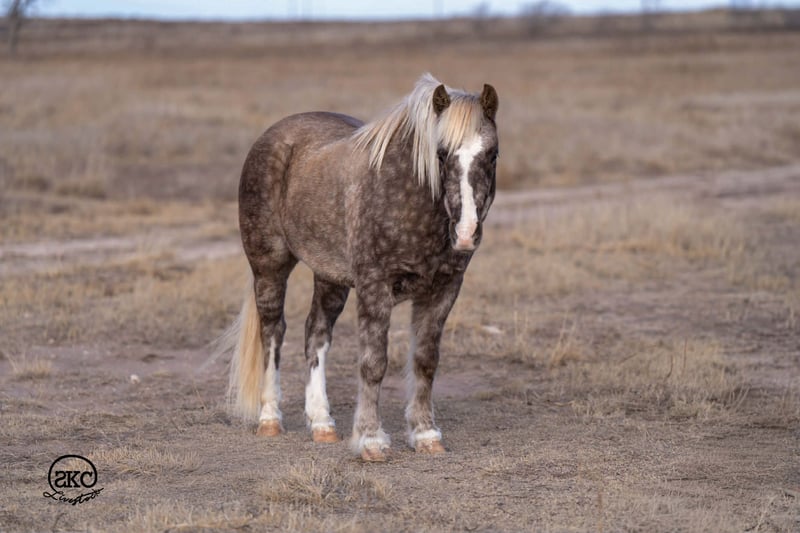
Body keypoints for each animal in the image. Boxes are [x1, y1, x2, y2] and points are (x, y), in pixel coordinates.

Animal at [219, 73, 499, 461]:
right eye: (441, 154)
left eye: (492, 153)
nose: (467, 232)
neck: (409, 198)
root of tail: (273, 137)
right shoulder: (373, 287)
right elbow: (373, 363)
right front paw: (370, 440)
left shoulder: (444, 289)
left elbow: (425, 360)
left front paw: (426, 434)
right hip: (270, 268)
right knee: (273, 333)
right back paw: (270, 418)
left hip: (330, 277)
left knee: (316, 334)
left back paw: (322, 423)